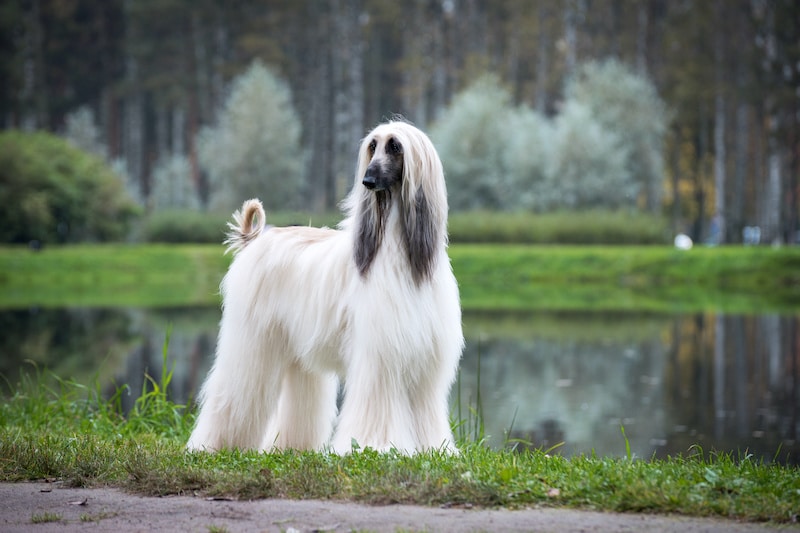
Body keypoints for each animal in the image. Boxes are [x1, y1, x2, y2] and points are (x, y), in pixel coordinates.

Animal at [186, 119, 462, 454]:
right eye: (372, 146)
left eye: (395, 146)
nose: (367, 180)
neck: (398, 252)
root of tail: (256, 238)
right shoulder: (379, 356)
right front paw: (377, 447)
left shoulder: (424, 361)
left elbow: (425, 412)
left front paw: (434, 449)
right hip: (251, 341)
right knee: (234, 391)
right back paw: (216, 445)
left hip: (295, 346)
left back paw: (293, 447)